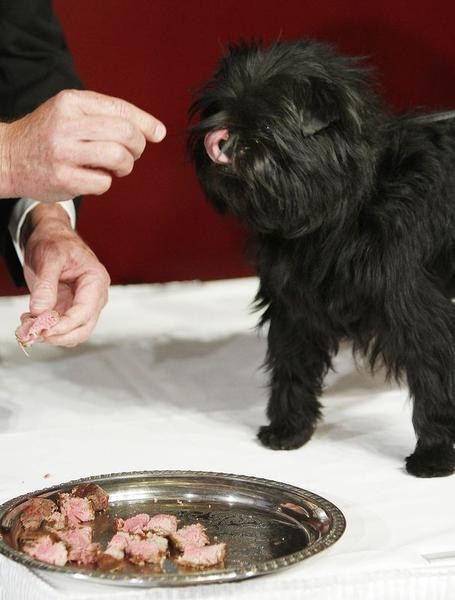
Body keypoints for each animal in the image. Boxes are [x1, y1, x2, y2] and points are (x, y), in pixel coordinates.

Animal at [188, 38, 455, 478]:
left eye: (267, 126)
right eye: (216, 111)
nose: (221, 139)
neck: (345, 207)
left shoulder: (416, 310)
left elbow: (433, 375)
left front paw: (435, 454)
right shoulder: (296, 307)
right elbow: (292, 367)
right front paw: (289, 429)